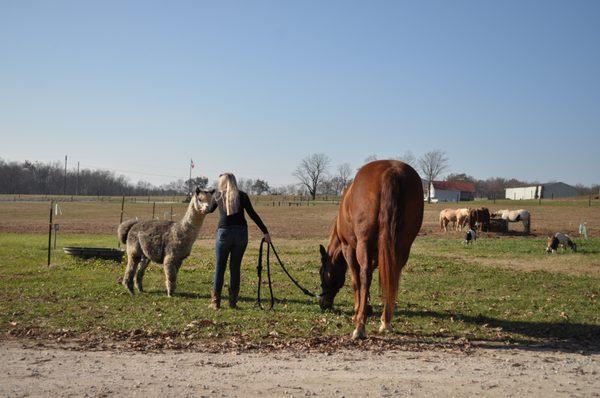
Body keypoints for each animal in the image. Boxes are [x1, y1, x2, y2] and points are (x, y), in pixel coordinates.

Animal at [318, 159, 422, 338]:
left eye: (321, 272)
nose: (323, 303)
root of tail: (392, 170)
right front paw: (366, 306)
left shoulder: (349, 248)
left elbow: (356, 279)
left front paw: (358, 311)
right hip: (402, 246)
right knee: (393, 275)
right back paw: (386, 321)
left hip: (363, 244)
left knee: (364, 274)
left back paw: (360, 326)